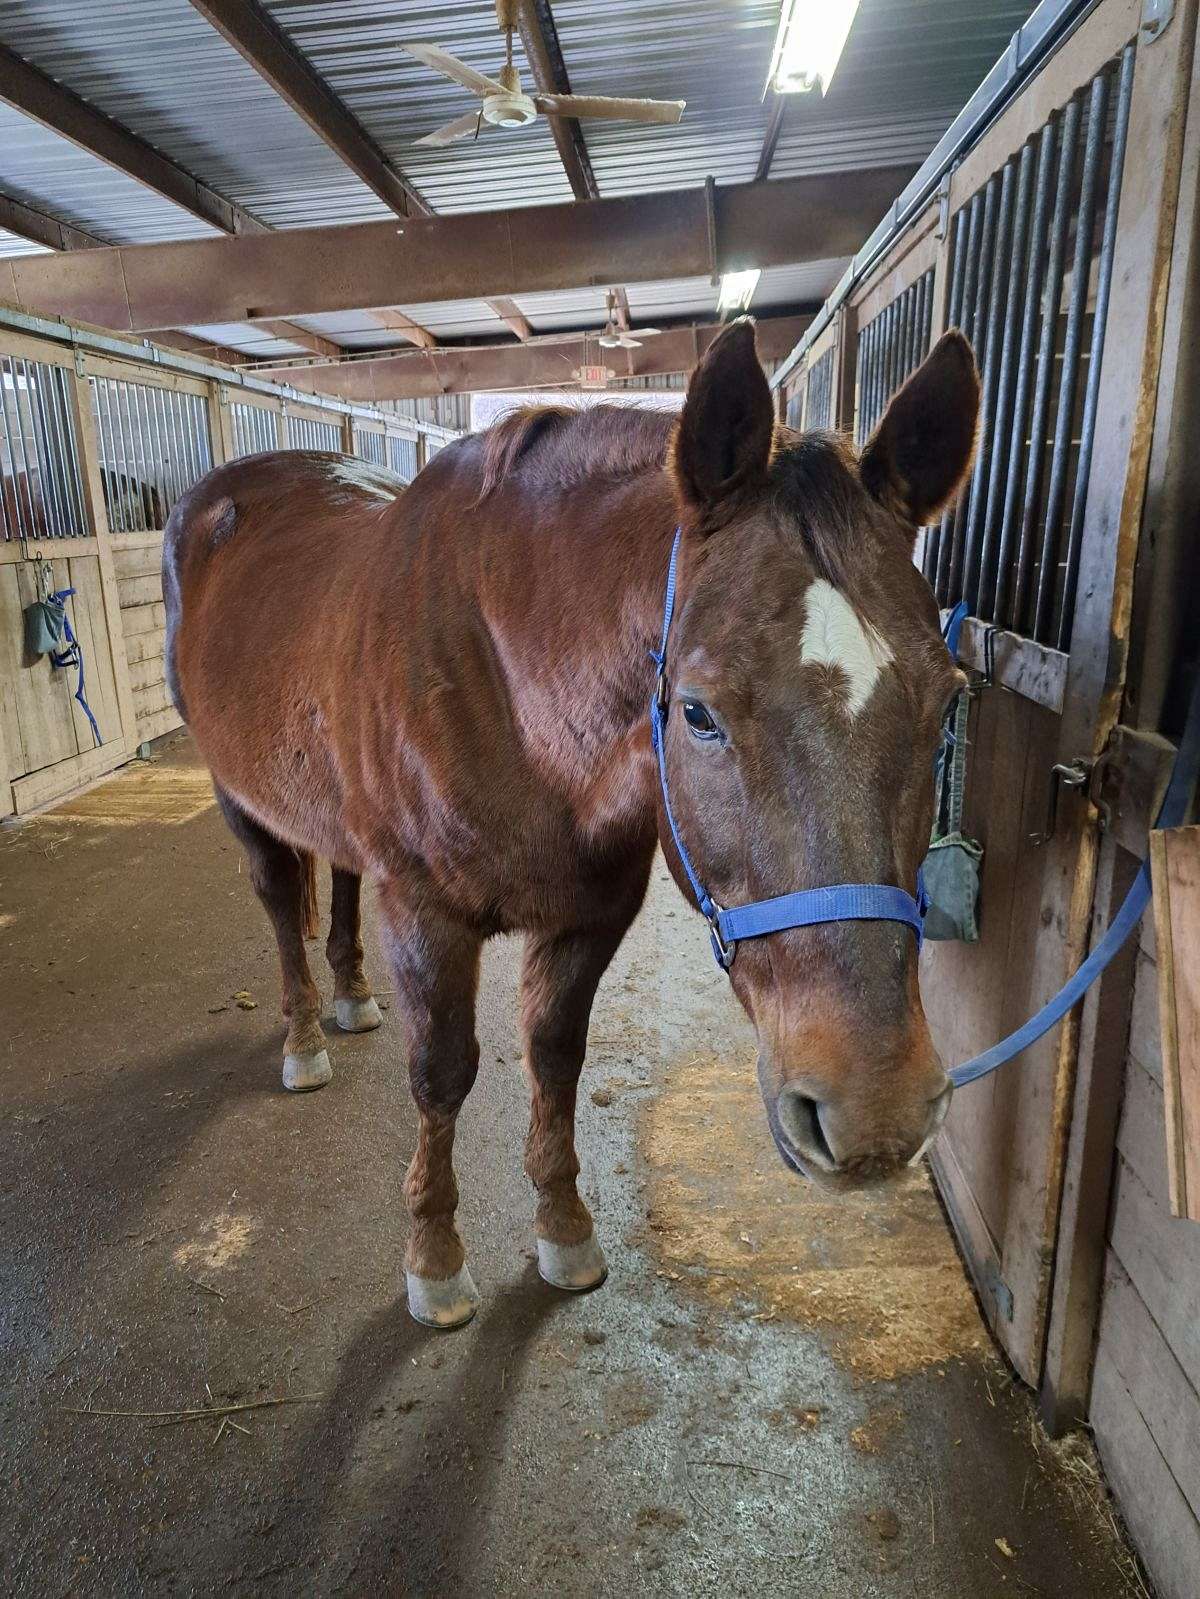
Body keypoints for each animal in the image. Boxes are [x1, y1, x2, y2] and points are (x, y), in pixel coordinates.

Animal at [164, 320, 980, 1328]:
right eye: (698, 712)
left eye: (949, 700)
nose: (875, 1114)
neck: (506, 683)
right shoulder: (426, 916)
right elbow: (442, 1071)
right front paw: (434, 1259)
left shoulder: (590, 915)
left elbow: (554, 1057)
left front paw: (563, 1229)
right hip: (242, 801)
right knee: (284, 904)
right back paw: (307, 1040)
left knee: (340, 875)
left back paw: (351, 996)